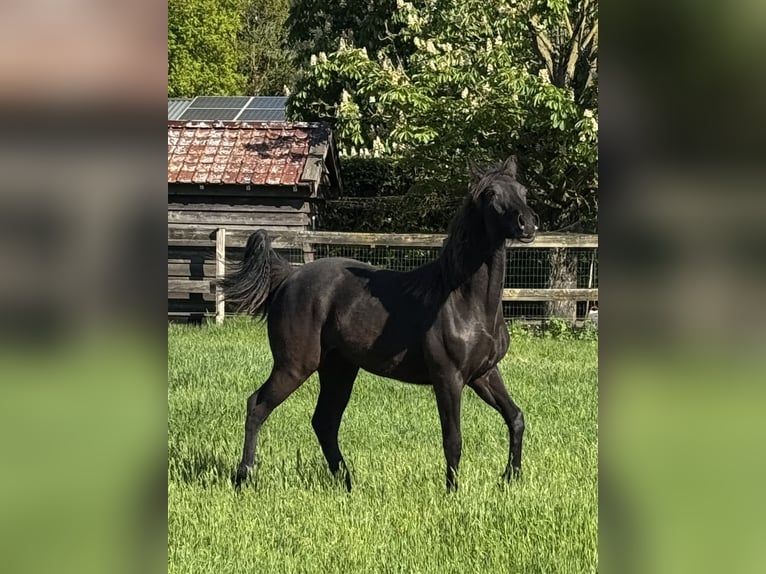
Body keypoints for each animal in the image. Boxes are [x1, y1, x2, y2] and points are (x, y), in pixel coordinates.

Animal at [222, 156, 538, 492]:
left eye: (522, 190)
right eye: (491, 194)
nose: (528, 224)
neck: (465, 300)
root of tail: (289, 277)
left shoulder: (484, 373)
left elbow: (515, 417)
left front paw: (510, 477)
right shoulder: (449, 378)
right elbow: (453, 439)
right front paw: (452, 492)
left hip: (338, 369)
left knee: (324, 422)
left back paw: (347, 481)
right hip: (294, 366)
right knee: (257, 406)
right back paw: (243, 477)